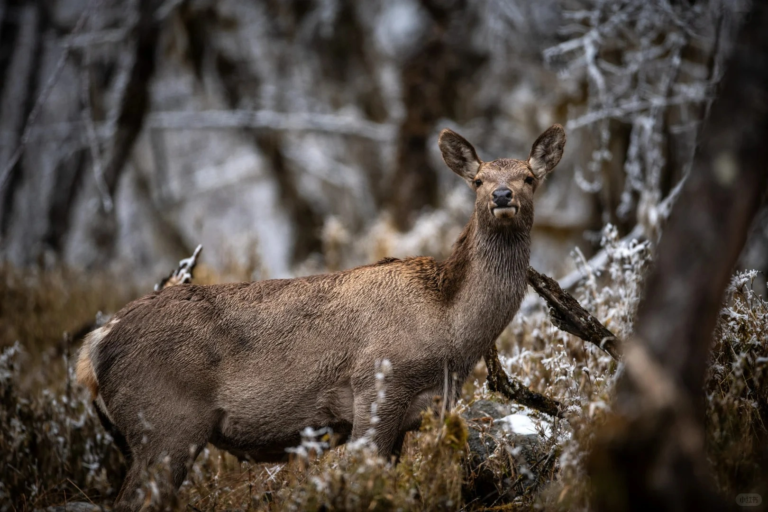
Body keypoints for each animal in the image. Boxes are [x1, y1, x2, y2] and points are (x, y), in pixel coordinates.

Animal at [76, 125, 565, 510]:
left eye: (528, 177)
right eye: (478, 180)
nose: (502, 195)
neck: (450, 332)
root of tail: (94, 348)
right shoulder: (375, 387)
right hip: (164, 424)